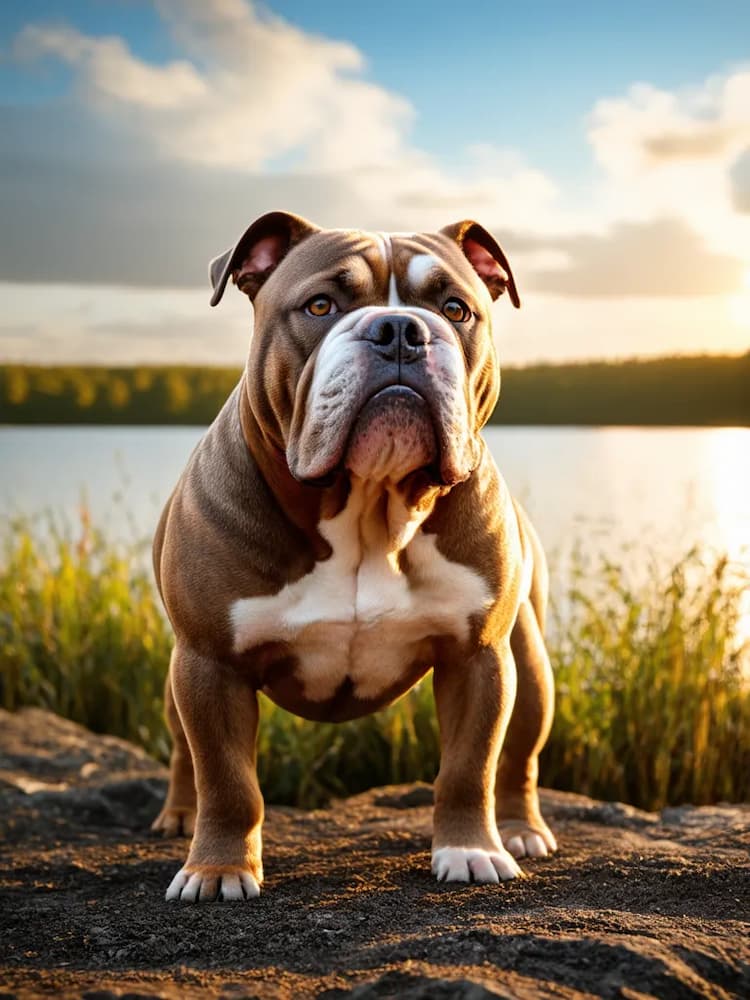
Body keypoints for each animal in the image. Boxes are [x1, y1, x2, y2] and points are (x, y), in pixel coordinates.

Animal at [153, 211, 560, 900]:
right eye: (320, 305)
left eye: (455, 309)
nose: (399, 330)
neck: (369, 502)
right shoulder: (209, 662)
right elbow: (227, 781)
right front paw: (218, 869)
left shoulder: (478, 658)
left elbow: (469, 767)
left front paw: (470, 850)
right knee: (187, 752)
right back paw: (182, 815)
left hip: (526, 665)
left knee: (519, 756)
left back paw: (520, 829)